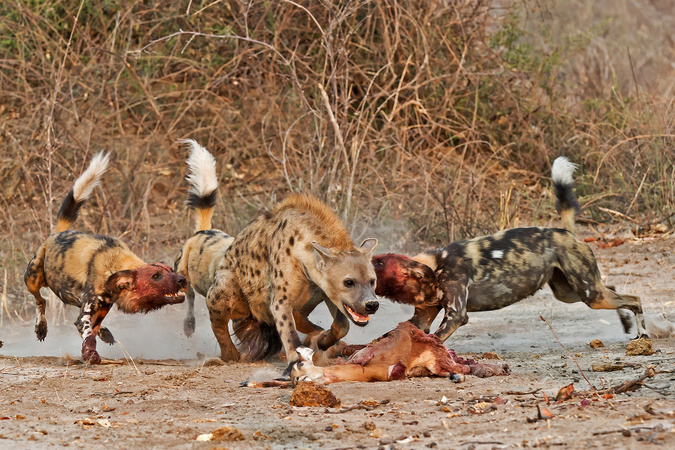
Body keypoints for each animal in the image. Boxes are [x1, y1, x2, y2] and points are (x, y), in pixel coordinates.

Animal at [24, 151, 187, 362]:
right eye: (156, 276)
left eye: (171, 271)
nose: (182, 279)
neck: (114, 264)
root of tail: (56, 234)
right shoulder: (86, 314)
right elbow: (86, 332)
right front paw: (91, 355)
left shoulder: (101, 309)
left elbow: (91, 332)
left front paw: (90, 348)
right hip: (32, 278)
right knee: (40, 300)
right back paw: (41, 327)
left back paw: (104, 333)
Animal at [206, 193, 380, 372]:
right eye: (348, 282)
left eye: (372, 281)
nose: (372, 304)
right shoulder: (280, 300)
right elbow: (288, 330)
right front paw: (295, 363)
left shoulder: (325, 291)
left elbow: (342, 324)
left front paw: (323, 341)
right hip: (226, 286)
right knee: (218, 318)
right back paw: (229, 355)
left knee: (299, 317)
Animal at [372, 156, 648, 342]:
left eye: (378, 264)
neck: (435, 268)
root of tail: (565, 232)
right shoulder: (421, 318)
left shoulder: (456, 315)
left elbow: (434, 340)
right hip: (573, 292)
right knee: (614, 288)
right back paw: (626, 324)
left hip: (589, 294)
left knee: (634, 299)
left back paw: (643, 335)